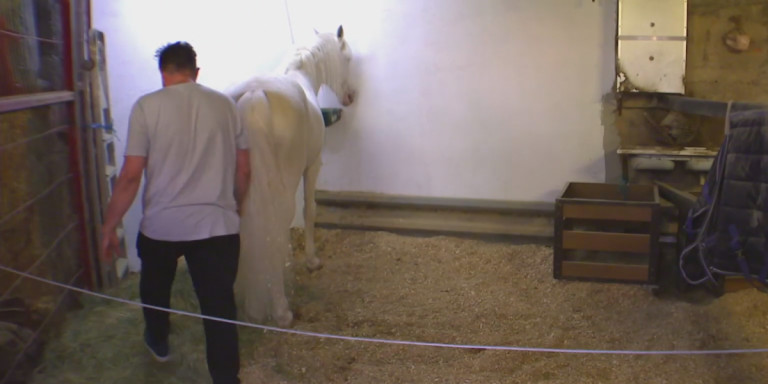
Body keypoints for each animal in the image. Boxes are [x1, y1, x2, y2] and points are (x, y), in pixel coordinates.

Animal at [226, 26, 356, 328]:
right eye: (347, 59)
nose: (350, 96)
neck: (299, 73)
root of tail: (255, 96)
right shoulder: (312, 166)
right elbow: (309, 211)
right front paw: (311, 261)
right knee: (276, 228)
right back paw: (280, 309)